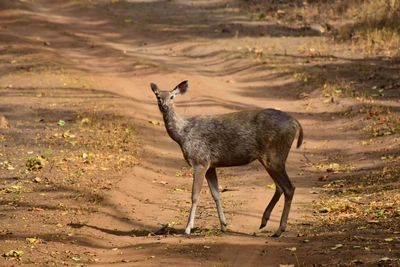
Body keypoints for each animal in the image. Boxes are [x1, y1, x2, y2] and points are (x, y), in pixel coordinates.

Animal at [150, 80, 304, 238]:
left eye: (172, 96)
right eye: (158, 96)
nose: (164, 107)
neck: (182, 136)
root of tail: (295, 123)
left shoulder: (200, 161)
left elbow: (194, 195)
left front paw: (187, 229)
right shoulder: (211, 165)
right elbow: (216, 194)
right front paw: (224, 225)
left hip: (274, 156)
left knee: (289, 187)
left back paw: (279, 229)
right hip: (269, 159)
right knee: (280, 187)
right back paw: (264, 221)